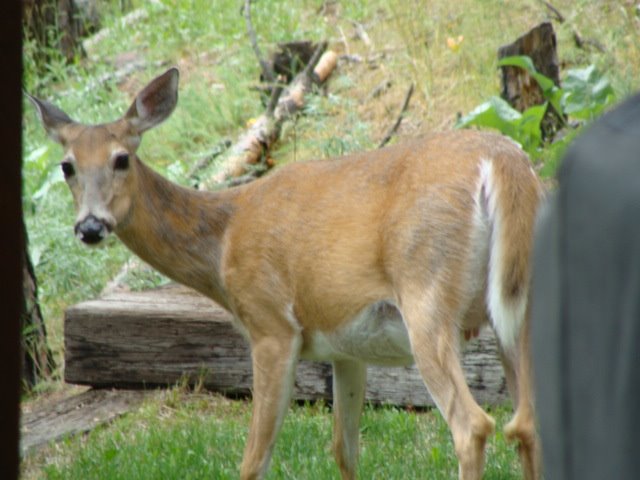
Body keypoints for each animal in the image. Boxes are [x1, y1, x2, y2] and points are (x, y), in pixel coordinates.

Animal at [28, 68, 542, 480]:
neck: (223, 238)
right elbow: (344, 450)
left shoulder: (271, 324)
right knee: (528, 422)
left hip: (426, 292)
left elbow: (254, 459)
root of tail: (503, 161)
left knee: (473, 425)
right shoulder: (346, 347)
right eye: (67, 166)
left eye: (121, 158)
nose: (90, 226)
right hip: (518, 303)